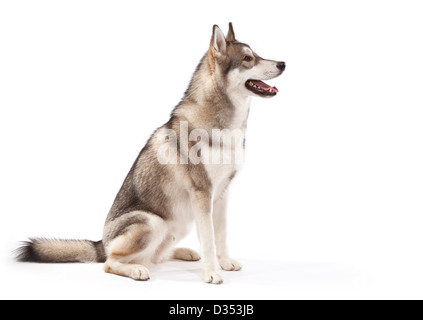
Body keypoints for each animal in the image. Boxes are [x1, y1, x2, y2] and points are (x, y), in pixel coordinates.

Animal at [17, 22, 288, 284]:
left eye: (256, 55)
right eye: (247, 59)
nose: (283, 64)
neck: (225, 127)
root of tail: (100, 244)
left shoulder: (221, 194)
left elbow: (218, 236)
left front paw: (225, 263)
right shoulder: (202, 193)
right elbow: (209, 239)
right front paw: (211, 273)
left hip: (177, 224)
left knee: (157, 256)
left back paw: (184, 252)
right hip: (152, 222)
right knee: (111, 263)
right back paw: (136, 270)